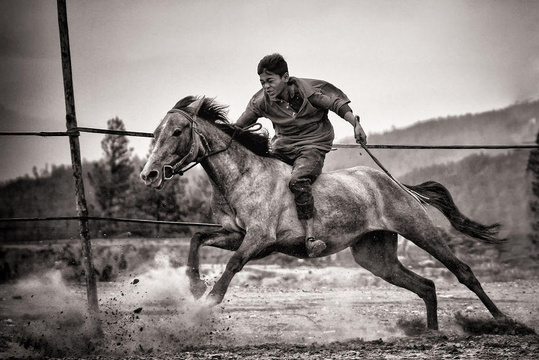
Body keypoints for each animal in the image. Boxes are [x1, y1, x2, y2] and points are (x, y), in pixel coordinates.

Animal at [140, 95, 510, 330]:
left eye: (177, 131)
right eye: (156, 133)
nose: (149, 174)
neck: (243, 175)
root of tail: (397, 185)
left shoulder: (259, 239)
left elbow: (232, 264)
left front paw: (208, 299)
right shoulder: (234, 234)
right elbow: (197, 237)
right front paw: (194, 285)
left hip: (418, 230)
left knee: (463, 271)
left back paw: (503, 320)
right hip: (375, 256)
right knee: (427, 285)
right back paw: (432, 333)